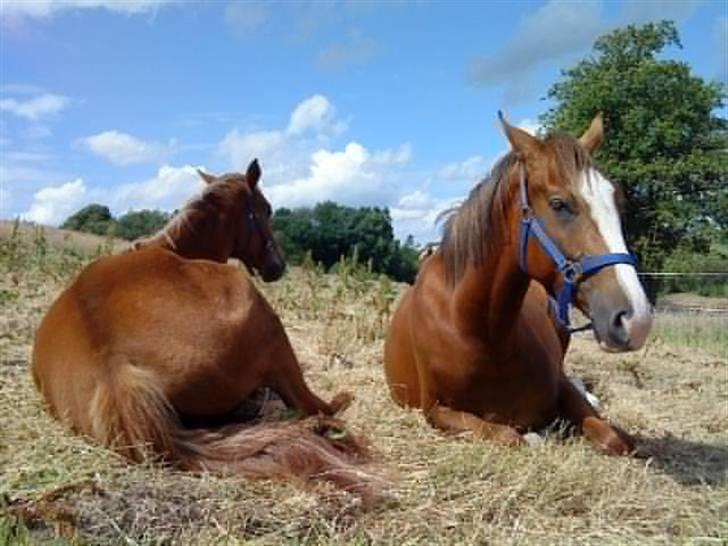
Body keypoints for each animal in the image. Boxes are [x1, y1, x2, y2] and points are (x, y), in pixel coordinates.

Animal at [32, 158, 376, 498]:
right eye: (267, 209)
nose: (277, 266)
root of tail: (115, 372)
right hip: (270, 328)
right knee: (312, 405)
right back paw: (340, 401)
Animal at [386, 112, 656, 452]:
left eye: (617, 202)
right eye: (559, 204)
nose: (636, 319)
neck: (480, 331)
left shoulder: (561, 387)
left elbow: (612, 437)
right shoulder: (437, 410)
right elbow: (511, 436)